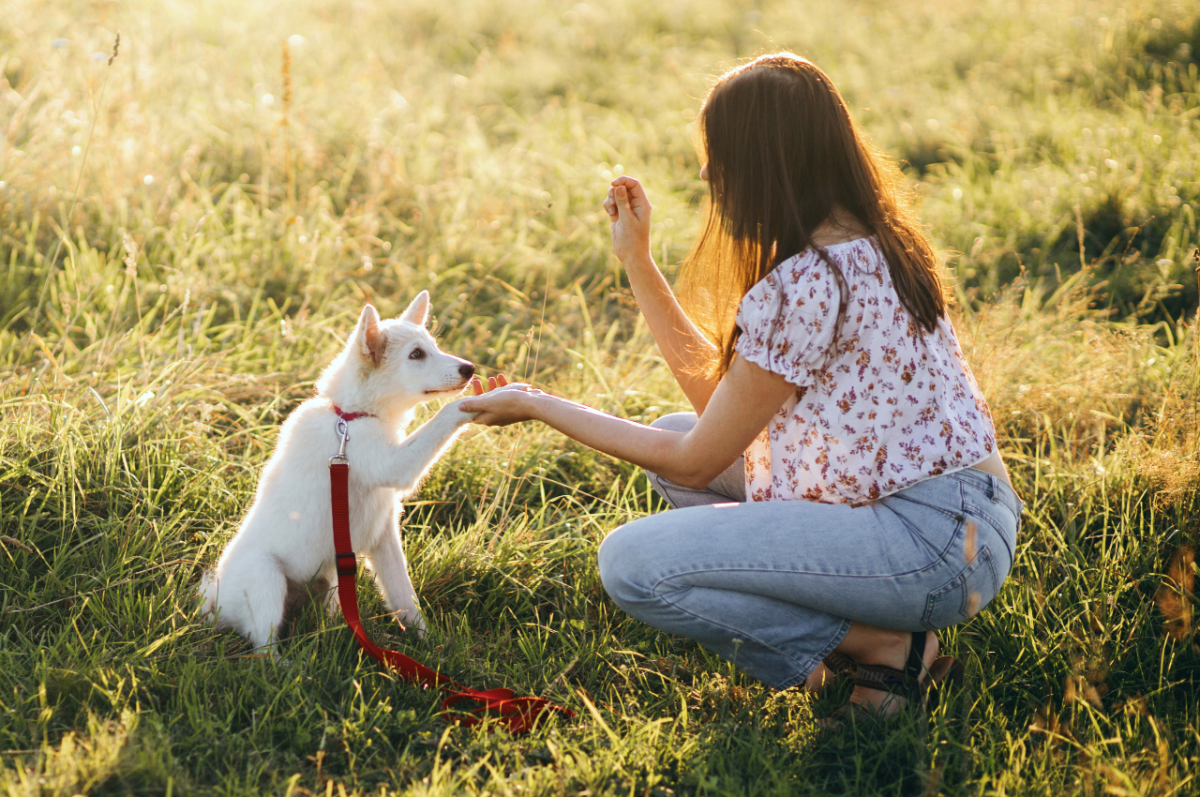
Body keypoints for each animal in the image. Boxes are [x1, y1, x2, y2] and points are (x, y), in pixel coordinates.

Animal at [200, 289, 472, 652]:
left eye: (434, 346)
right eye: (416, 355)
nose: (470, 369)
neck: (350, 417)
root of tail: (215, 604)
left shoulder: (384, 536)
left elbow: (404, 596)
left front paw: (429, 644)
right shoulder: (394, 465)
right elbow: (444, 417)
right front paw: (493, 397)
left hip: (328, 581)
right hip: (267, 576)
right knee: (263, 646)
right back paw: (286, 661)